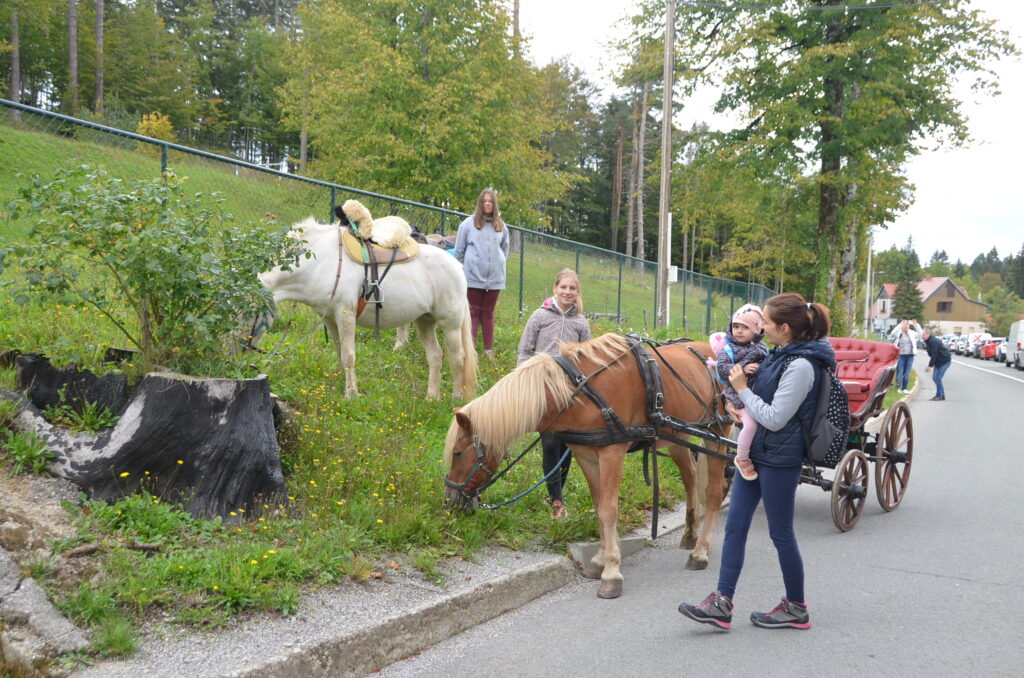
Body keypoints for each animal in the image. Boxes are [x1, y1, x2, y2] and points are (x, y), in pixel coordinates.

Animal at [258, 218, 477, 401]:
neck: (321, 262)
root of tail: (457, 265)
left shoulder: (345, 315)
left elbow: (348, 355)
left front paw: (351, 394)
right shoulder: (330, 318)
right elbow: (340, 353)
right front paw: (346, 386)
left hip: (450, 325)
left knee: (458, 358)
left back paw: (456, 398)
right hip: (424, 321)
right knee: (435, 356)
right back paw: (431, 397)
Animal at [444, 333, 733, 602]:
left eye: (457, 453)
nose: (450, 500)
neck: (579, 390)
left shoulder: (611, 453)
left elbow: (608, 510)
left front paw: (611, 573)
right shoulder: (586, 454)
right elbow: (598, 505)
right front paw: (598, 561)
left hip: (718, 435)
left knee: (713, 492)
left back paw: (700, 552)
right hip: (678, 436)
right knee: (691, 478)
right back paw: (690, 534)